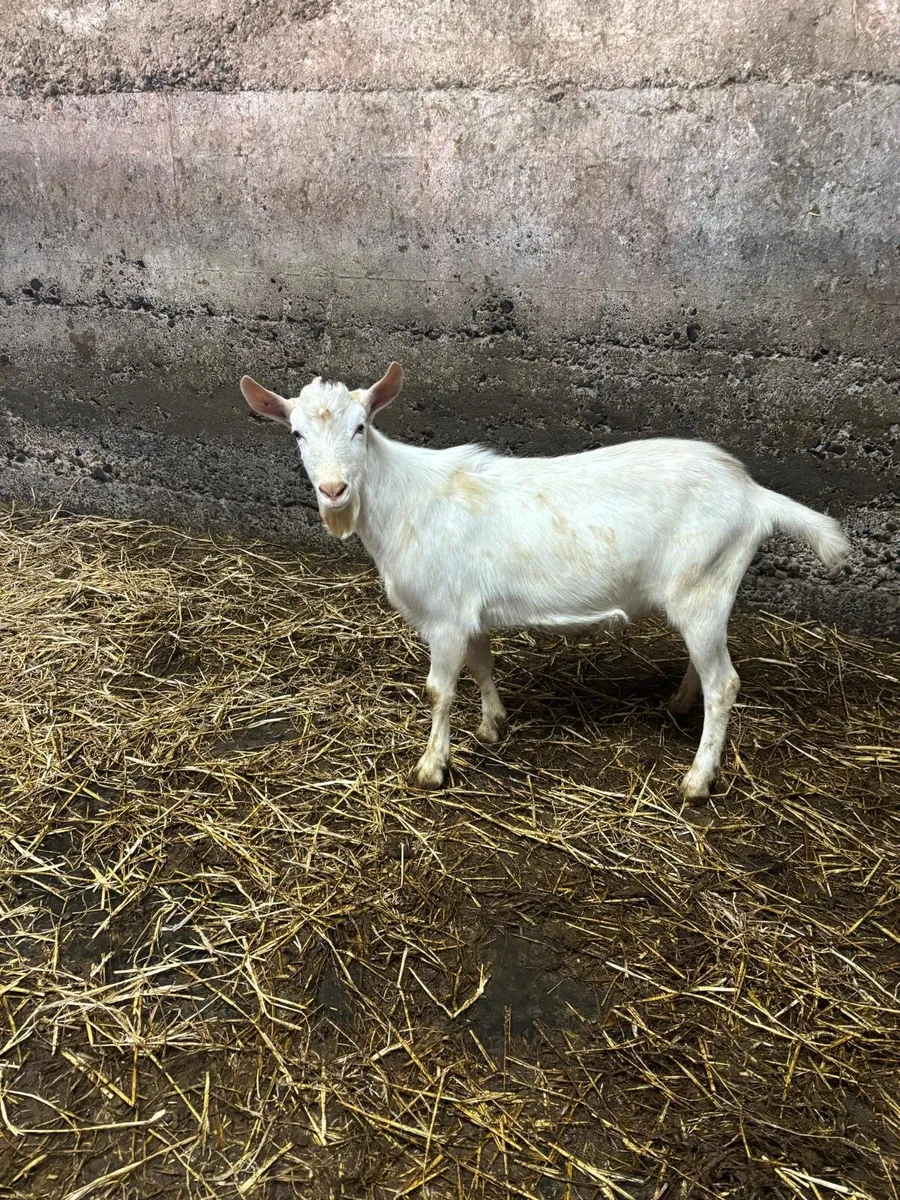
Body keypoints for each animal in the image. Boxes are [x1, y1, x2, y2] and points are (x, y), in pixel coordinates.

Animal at [241, 363, 849, 799]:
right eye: (296, 433)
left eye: (360, 427)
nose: (334, 490)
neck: (406, 500)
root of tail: (754, 494)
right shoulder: (469, 612)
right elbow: (482, 666)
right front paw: (492, 726)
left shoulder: (444, 615)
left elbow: (439, 690)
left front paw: (431, 768)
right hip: (702, 594)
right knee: (706, 667)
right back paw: (679, 704)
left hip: (705, 583)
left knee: (725, 682)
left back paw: (698, 781)